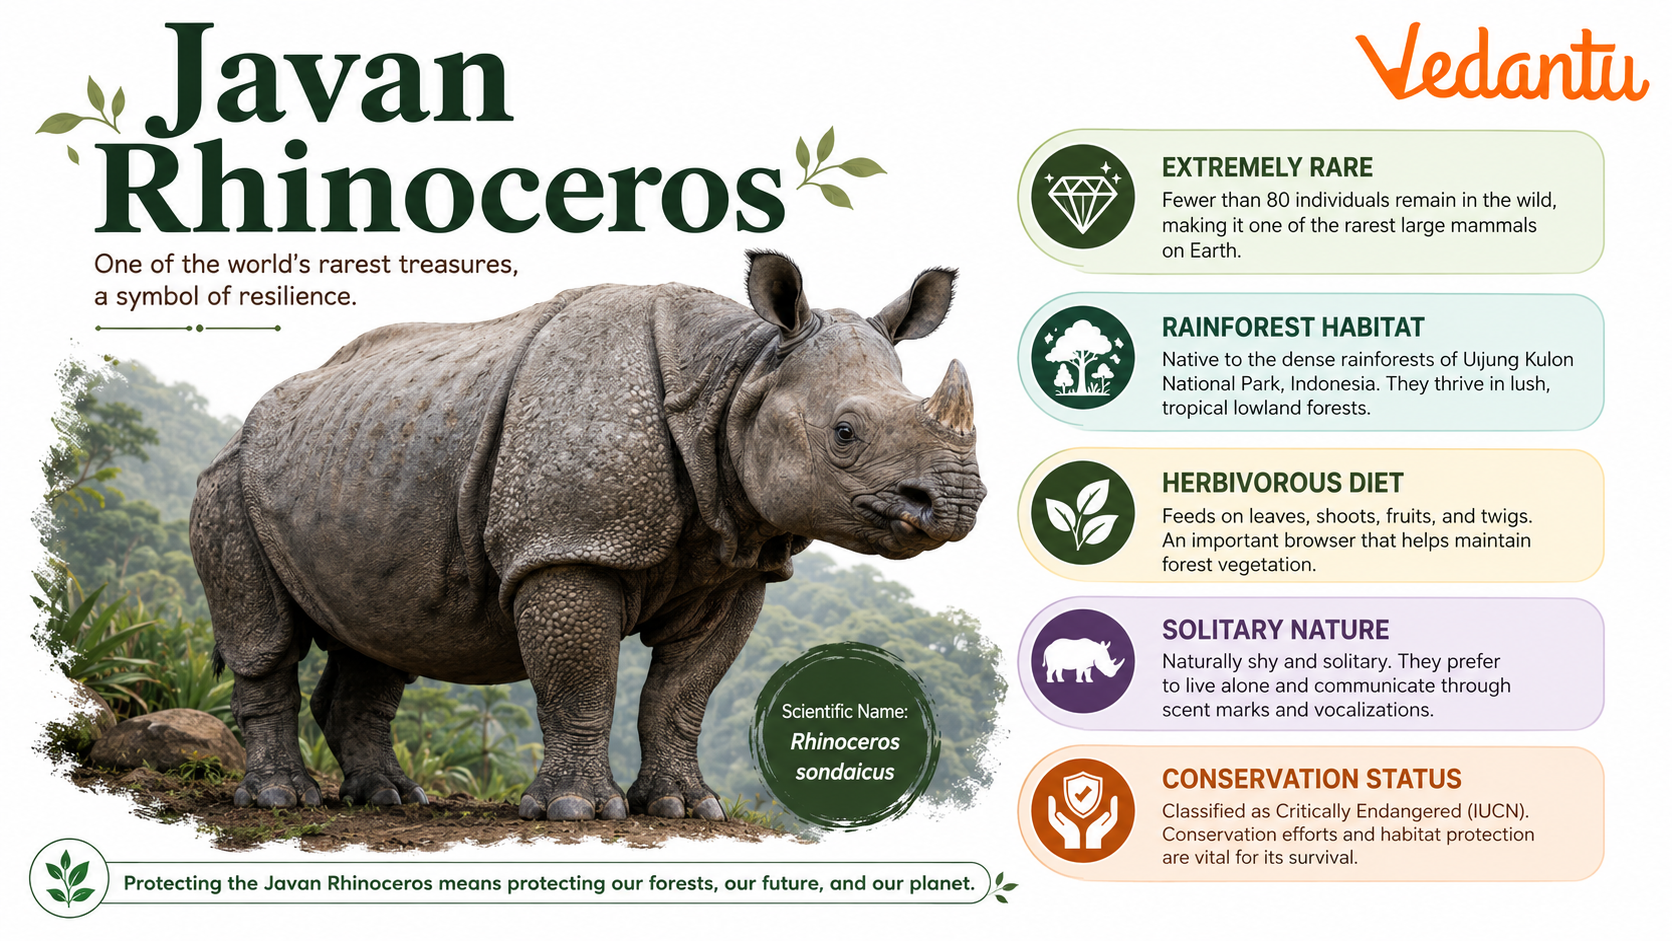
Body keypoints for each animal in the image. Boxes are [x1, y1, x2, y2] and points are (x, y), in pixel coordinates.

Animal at [189, 252, 985, 821]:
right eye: (845, 433)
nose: (957, 502)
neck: (737, 379)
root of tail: (247, 421)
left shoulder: (734, 563)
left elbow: (682, 693)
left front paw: (686, 808)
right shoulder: (568, 546)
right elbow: (582, 679)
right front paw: (577, 811)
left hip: (363, 460)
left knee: (386, 632)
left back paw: (390, 799)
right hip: (230, 480)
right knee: (266, 636)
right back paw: (285, 800)